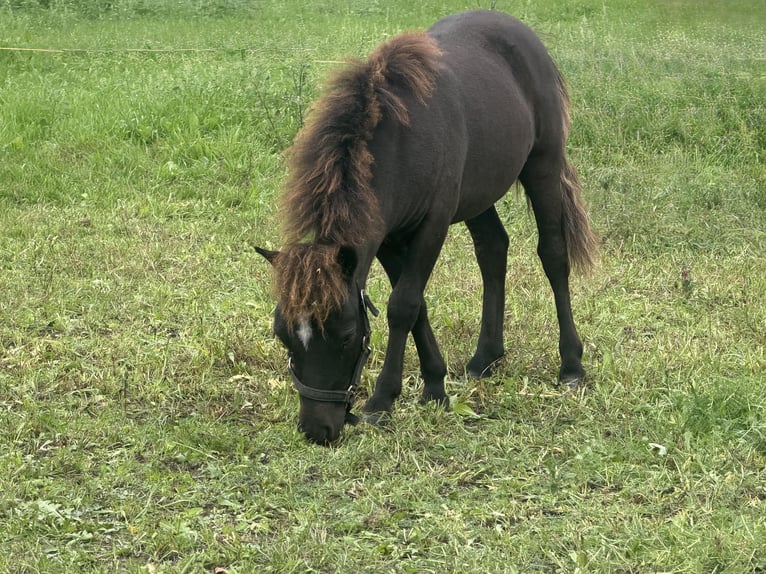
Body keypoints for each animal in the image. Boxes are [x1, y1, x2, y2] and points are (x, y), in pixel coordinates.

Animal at [257, 10, 598, 444]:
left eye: (347, 334)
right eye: (282, 334)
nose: (318, 429)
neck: (399, 142)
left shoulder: (432, 226)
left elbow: (403, 305)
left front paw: (381, 402)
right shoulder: (387, 236)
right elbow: (416, 305)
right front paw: (435, 385)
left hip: (544, 165)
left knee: (553, 255)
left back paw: (571, 365)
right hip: (478, 193)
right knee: (493, 250)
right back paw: (485, 357)